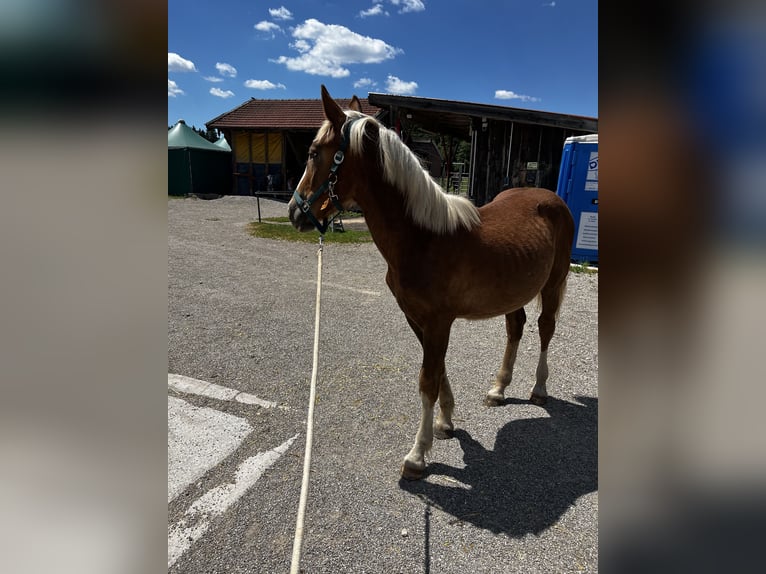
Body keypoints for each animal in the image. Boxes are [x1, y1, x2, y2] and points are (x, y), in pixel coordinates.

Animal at [288, 86, 574, 480]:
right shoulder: (417, 318)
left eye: (315, 152)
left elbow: (428, 380)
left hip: (553, 283)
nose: (294, 213)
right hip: (514, 291)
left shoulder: (439, 321)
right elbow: (437, 372)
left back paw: (539, 387)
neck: (422, 237)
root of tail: (551, 197)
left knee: (546, 329)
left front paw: (417, 454)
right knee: (516, 327)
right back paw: (498, 389)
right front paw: (445, 422)